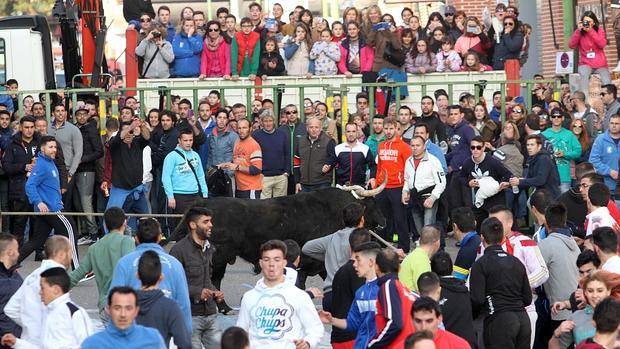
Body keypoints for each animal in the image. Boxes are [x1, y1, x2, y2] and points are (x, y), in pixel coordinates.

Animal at [172, 188, 386, 290]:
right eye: (372, 203)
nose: (384, 223)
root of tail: (204, 202)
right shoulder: (310, 263)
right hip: (218, 258)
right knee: (212, 280)